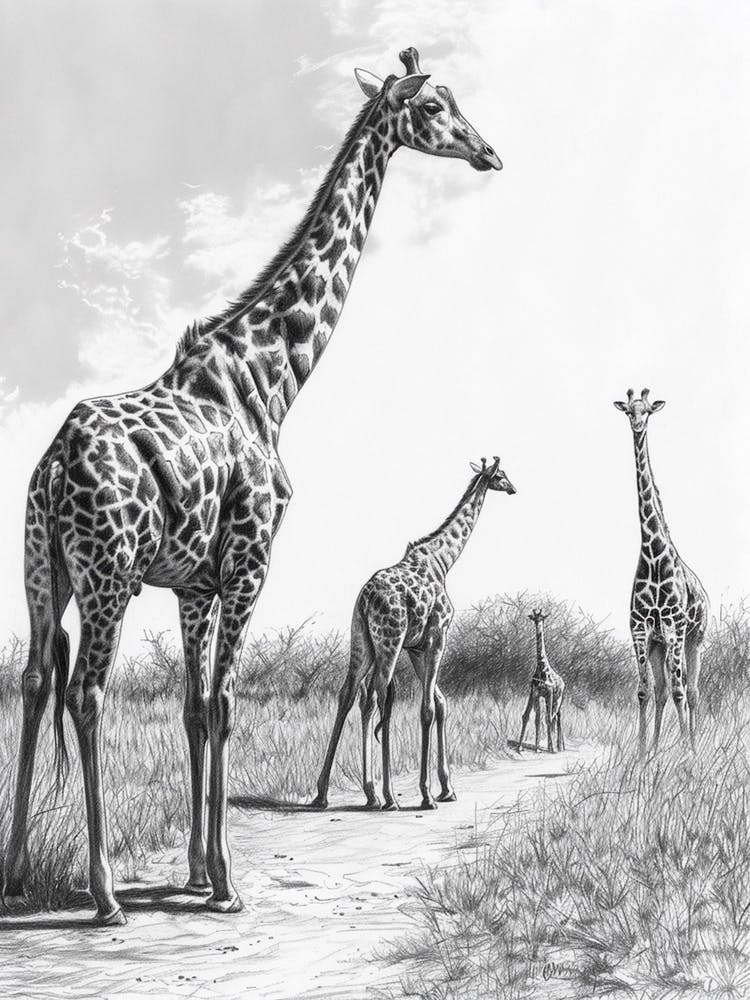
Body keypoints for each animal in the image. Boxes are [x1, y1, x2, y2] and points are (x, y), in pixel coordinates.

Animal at [312, 457, 516, 812]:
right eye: (501, 475)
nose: (514, 488)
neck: (442, 561)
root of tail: (365, 598)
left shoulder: (417, 648)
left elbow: (441, 702)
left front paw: (446, 788)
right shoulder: (436, 638)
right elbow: (428, 708)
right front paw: (426, 793)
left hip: (362, 642)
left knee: (350, 693)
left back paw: (333, 794)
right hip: (389, 640)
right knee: (379, 694)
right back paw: (388, 797)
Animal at [517, 609, 565, 753]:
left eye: (542, 617)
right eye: (534, 617)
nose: (537, 622)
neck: (541, 667)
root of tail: (563, 682)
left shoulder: (549, 692)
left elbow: (547, 718)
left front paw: (552, 749)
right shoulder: (535, 693)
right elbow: (531, 717)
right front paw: (526, 747)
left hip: (558, 699)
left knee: (557, 718)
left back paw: (559, 747)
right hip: (551, 700)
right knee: (552, 718)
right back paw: (552, 746)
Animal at [614, 388, 709, 755]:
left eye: (648, 411)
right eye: (629, 410)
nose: (638, 425)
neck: (653, 554)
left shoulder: (674, 628)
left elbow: (682, 690)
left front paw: (684, 752)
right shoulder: (641, 630)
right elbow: (645, 690)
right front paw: (643, 753)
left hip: (695, 639)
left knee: (691, 691)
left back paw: (694, 746)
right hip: (659, 644)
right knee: (662, 690)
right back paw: (655, 749)